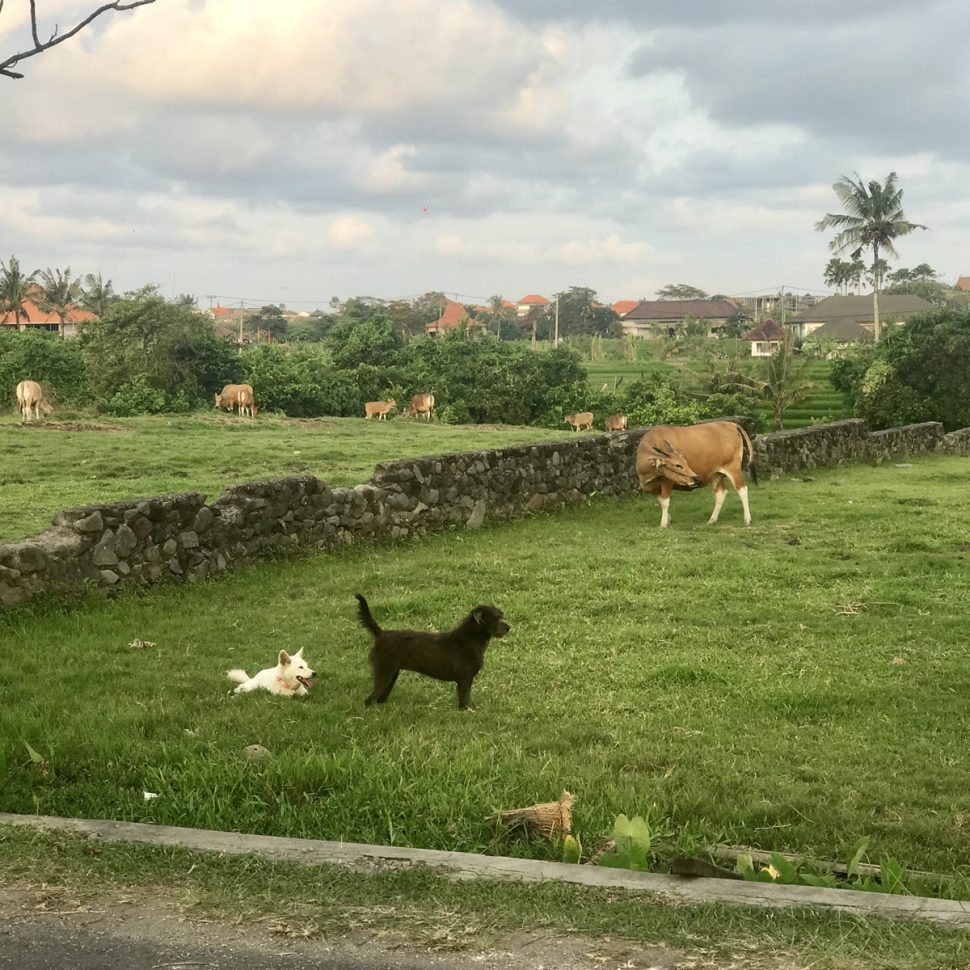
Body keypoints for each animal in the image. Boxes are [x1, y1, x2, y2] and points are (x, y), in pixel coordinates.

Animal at [354, 588, 506, 712]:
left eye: (501, 616)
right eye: (495, 619)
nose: (508, 627)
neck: (469, 639)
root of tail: (381, 634)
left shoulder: (467, 680)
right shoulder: (464, 679)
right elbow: (463, 699)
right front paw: (465, 712)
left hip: (392, 674)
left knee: (379, 698)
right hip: (384, 672)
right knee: (369, 700)